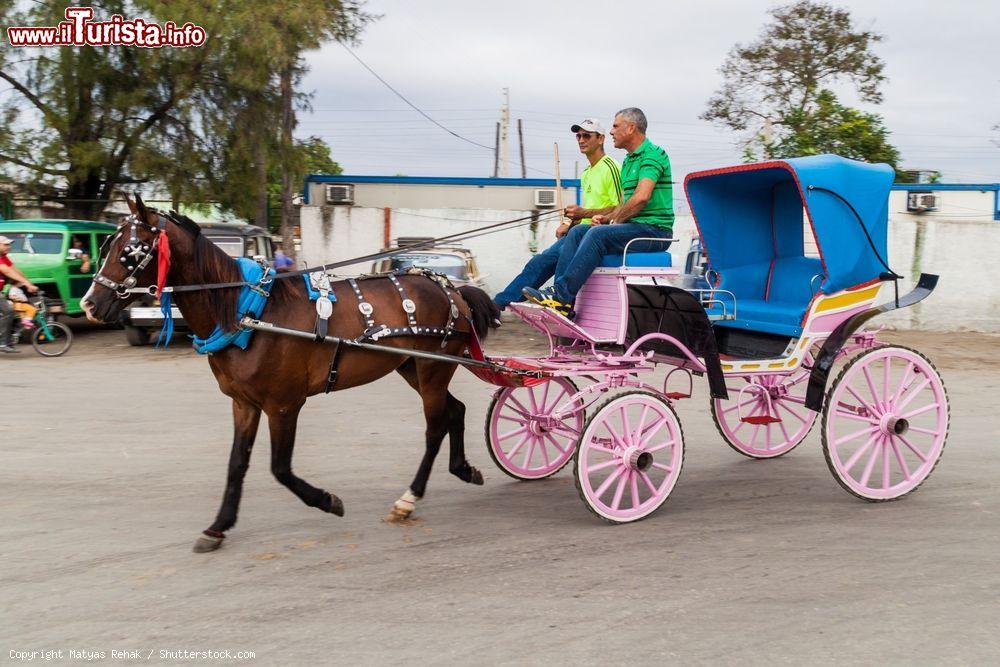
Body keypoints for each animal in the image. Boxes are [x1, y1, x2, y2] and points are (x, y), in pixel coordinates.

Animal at [83, 193, 500, 552]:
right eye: (106, 248)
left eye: (130, 251)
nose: (89, 304)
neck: (246, 312)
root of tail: (452, 288)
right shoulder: (243, 403)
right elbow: (237, 464)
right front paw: (218, 526)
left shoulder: (284, 405)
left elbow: (280, 468)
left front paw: (328, 500)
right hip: (411, 367)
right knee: (456, 410)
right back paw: (464, 469)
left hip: (433, 368)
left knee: (435, 427)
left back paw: (408, 498)